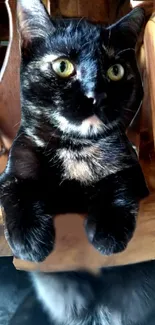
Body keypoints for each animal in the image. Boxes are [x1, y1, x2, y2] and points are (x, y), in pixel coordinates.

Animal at [0, 0, 148, 262]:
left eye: (115, 70)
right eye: (63, 66)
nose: (96, 94)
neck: (75, 147)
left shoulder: (131, 168)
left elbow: (120, 183)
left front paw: (109, 230)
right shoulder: (15, 166)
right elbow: (16, 191)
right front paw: (29, 239)